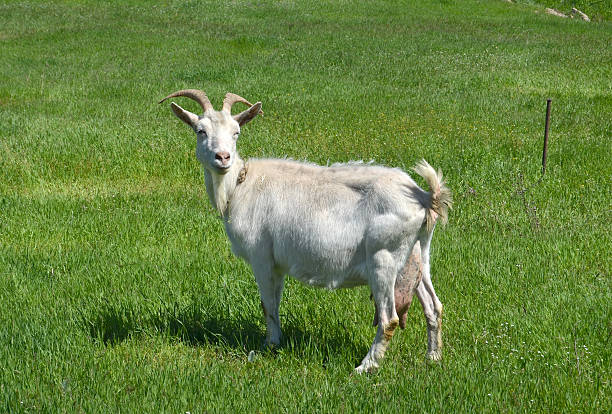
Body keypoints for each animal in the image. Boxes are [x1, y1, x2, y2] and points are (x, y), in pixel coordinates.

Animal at [160, 89, 452, 374]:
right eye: (200, 131)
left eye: (236, 132)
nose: (223, 157)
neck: (239, 185)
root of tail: (424, 198)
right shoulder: (277, 263)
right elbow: (275, 302)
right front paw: (276, 343)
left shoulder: (261, 256)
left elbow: (267, 304)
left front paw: (268, 346)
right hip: (417, 255)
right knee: (434, 305)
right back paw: (433, 357)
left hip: (384, 257)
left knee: (389, 318)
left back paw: (366, 366)